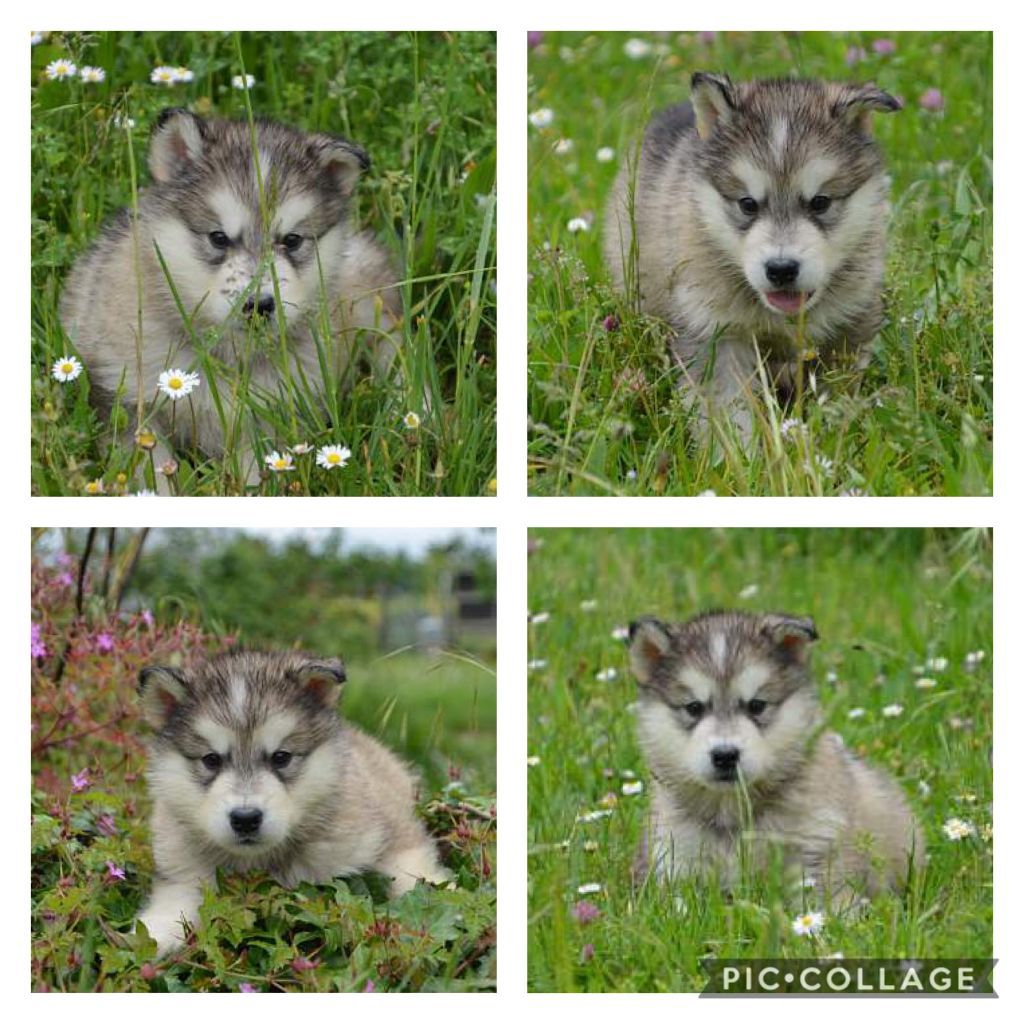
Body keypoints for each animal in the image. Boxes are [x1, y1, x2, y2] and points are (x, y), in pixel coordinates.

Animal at [59, 110, 403, 485]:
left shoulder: (267, 418)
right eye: (218, 238)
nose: (259, 305)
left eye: (292, 240)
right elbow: (150, 471)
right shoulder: (129, 403)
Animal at [136, 651, 444, 954]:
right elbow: (176, 901)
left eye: (281, 757)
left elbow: (412, 874)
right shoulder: (182, 871)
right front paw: (152, 934)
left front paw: (438, 897)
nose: (245, 819)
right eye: (211, 760)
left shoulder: (391, 831)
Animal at [602, 72, 901, 440]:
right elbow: (729, 414)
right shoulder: (715, 333)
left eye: (820, 202)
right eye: (747, 204)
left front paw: (830, 442)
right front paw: (742, 454)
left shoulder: (849, 328)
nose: (782, 269)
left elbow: (835, 398)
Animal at [626, 610, 925, 901]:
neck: (733, 810)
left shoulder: (815, 853)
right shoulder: (677, 858)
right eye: (694, 708)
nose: (725, 755)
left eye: (757, 705)